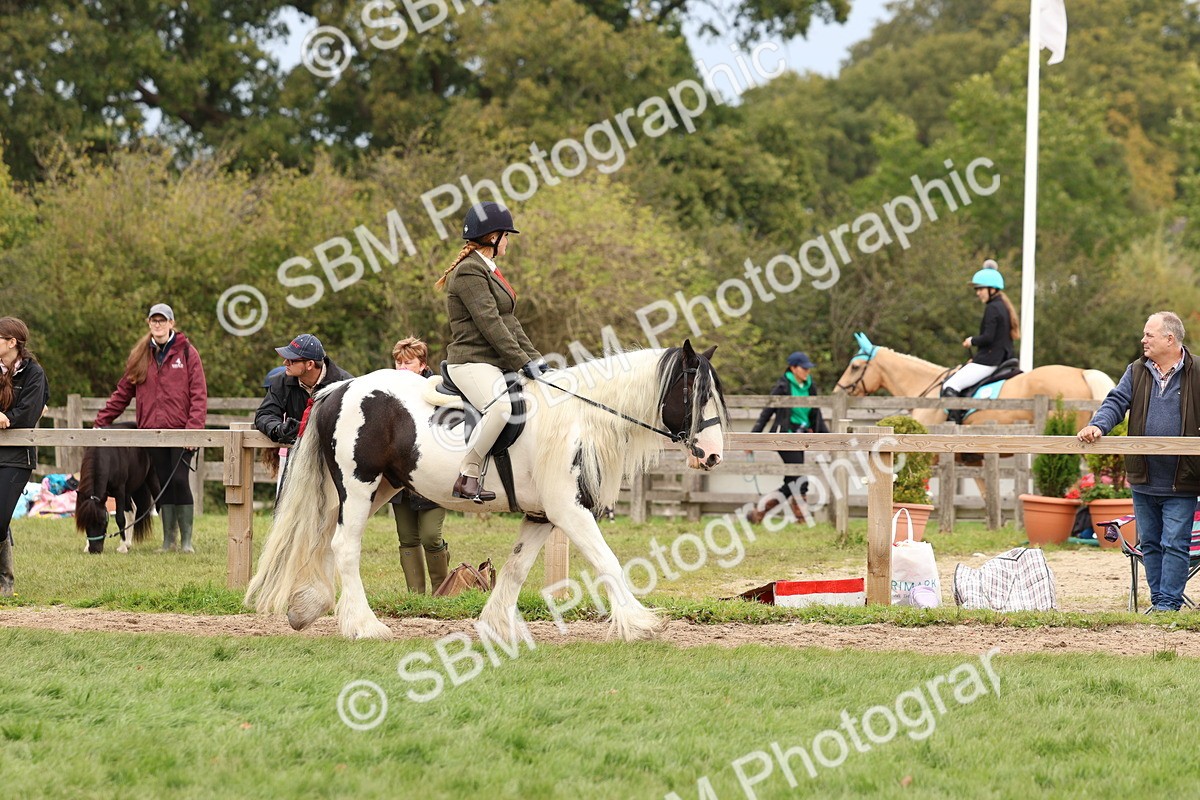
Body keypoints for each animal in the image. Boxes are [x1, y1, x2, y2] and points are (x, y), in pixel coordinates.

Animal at [75, 423, 161, 554]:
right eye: (85, 523)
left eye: (103, 522)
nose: (94, 550)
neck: (106, 455)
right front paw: (86, 546)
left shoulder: (119, 492)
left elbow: (120, 518)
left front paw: (122, 547)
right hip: (128, 491)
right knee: (132, 510)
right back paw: (129, 543)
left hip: (152, 480)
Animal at [245, 341, 727, 642]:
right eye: (695, 393)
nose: (712, 456)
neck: (579, 418)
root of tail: (338, 387)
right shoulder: (569, 510)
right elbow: (607, 561)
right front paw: (640, 623)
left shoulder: (542, 516)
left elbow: (515, 568)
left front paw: (496, 625)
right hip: (359, 485)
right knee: (345, 546)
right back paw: (365, 626)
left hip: (379, 487)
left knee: (325, 538)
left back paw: (309, 608)